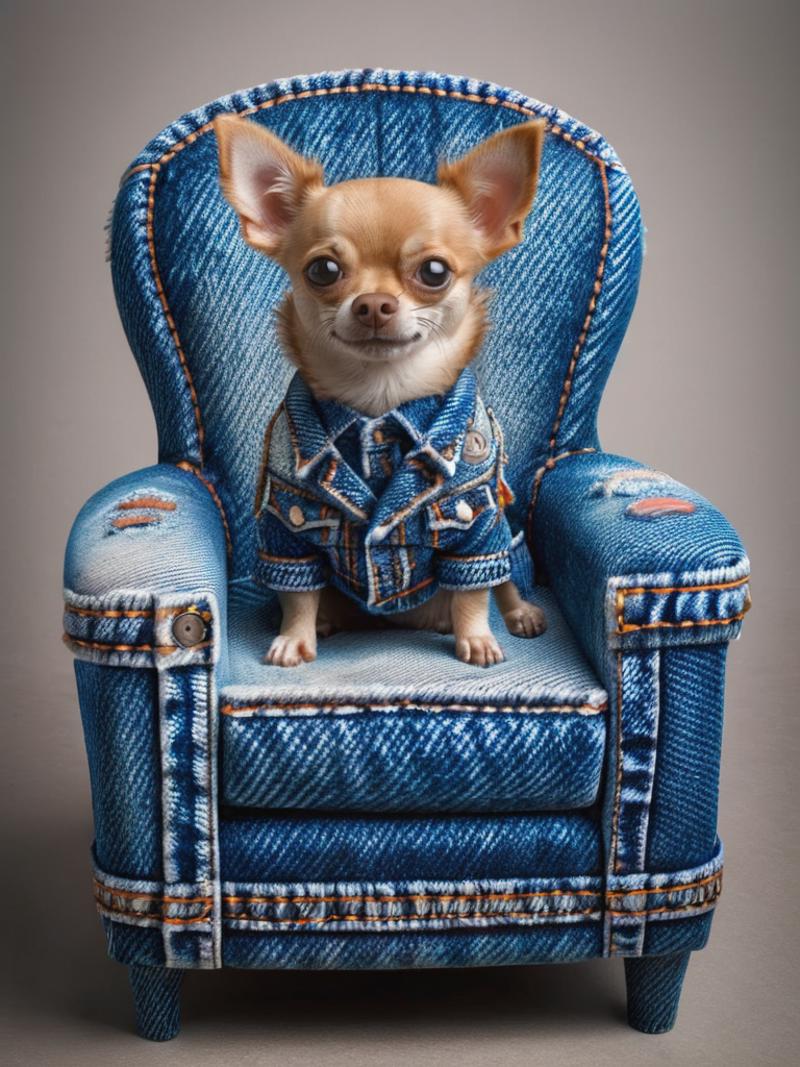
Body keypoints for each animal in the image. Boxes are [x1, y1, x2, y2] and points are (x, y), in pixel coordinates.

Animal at [216, 116, 550, 665]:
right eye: (323, 270)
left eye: (434, 272)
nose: (372, 303)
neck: (381, 399)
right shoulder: (289, 526)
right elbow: (297, 593)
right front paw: (295, 637)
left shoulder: (473, 519)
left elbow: (474, 591)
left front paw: (477, 638)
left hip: (499, 523)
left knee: (502, 580)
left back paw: (520, 613)